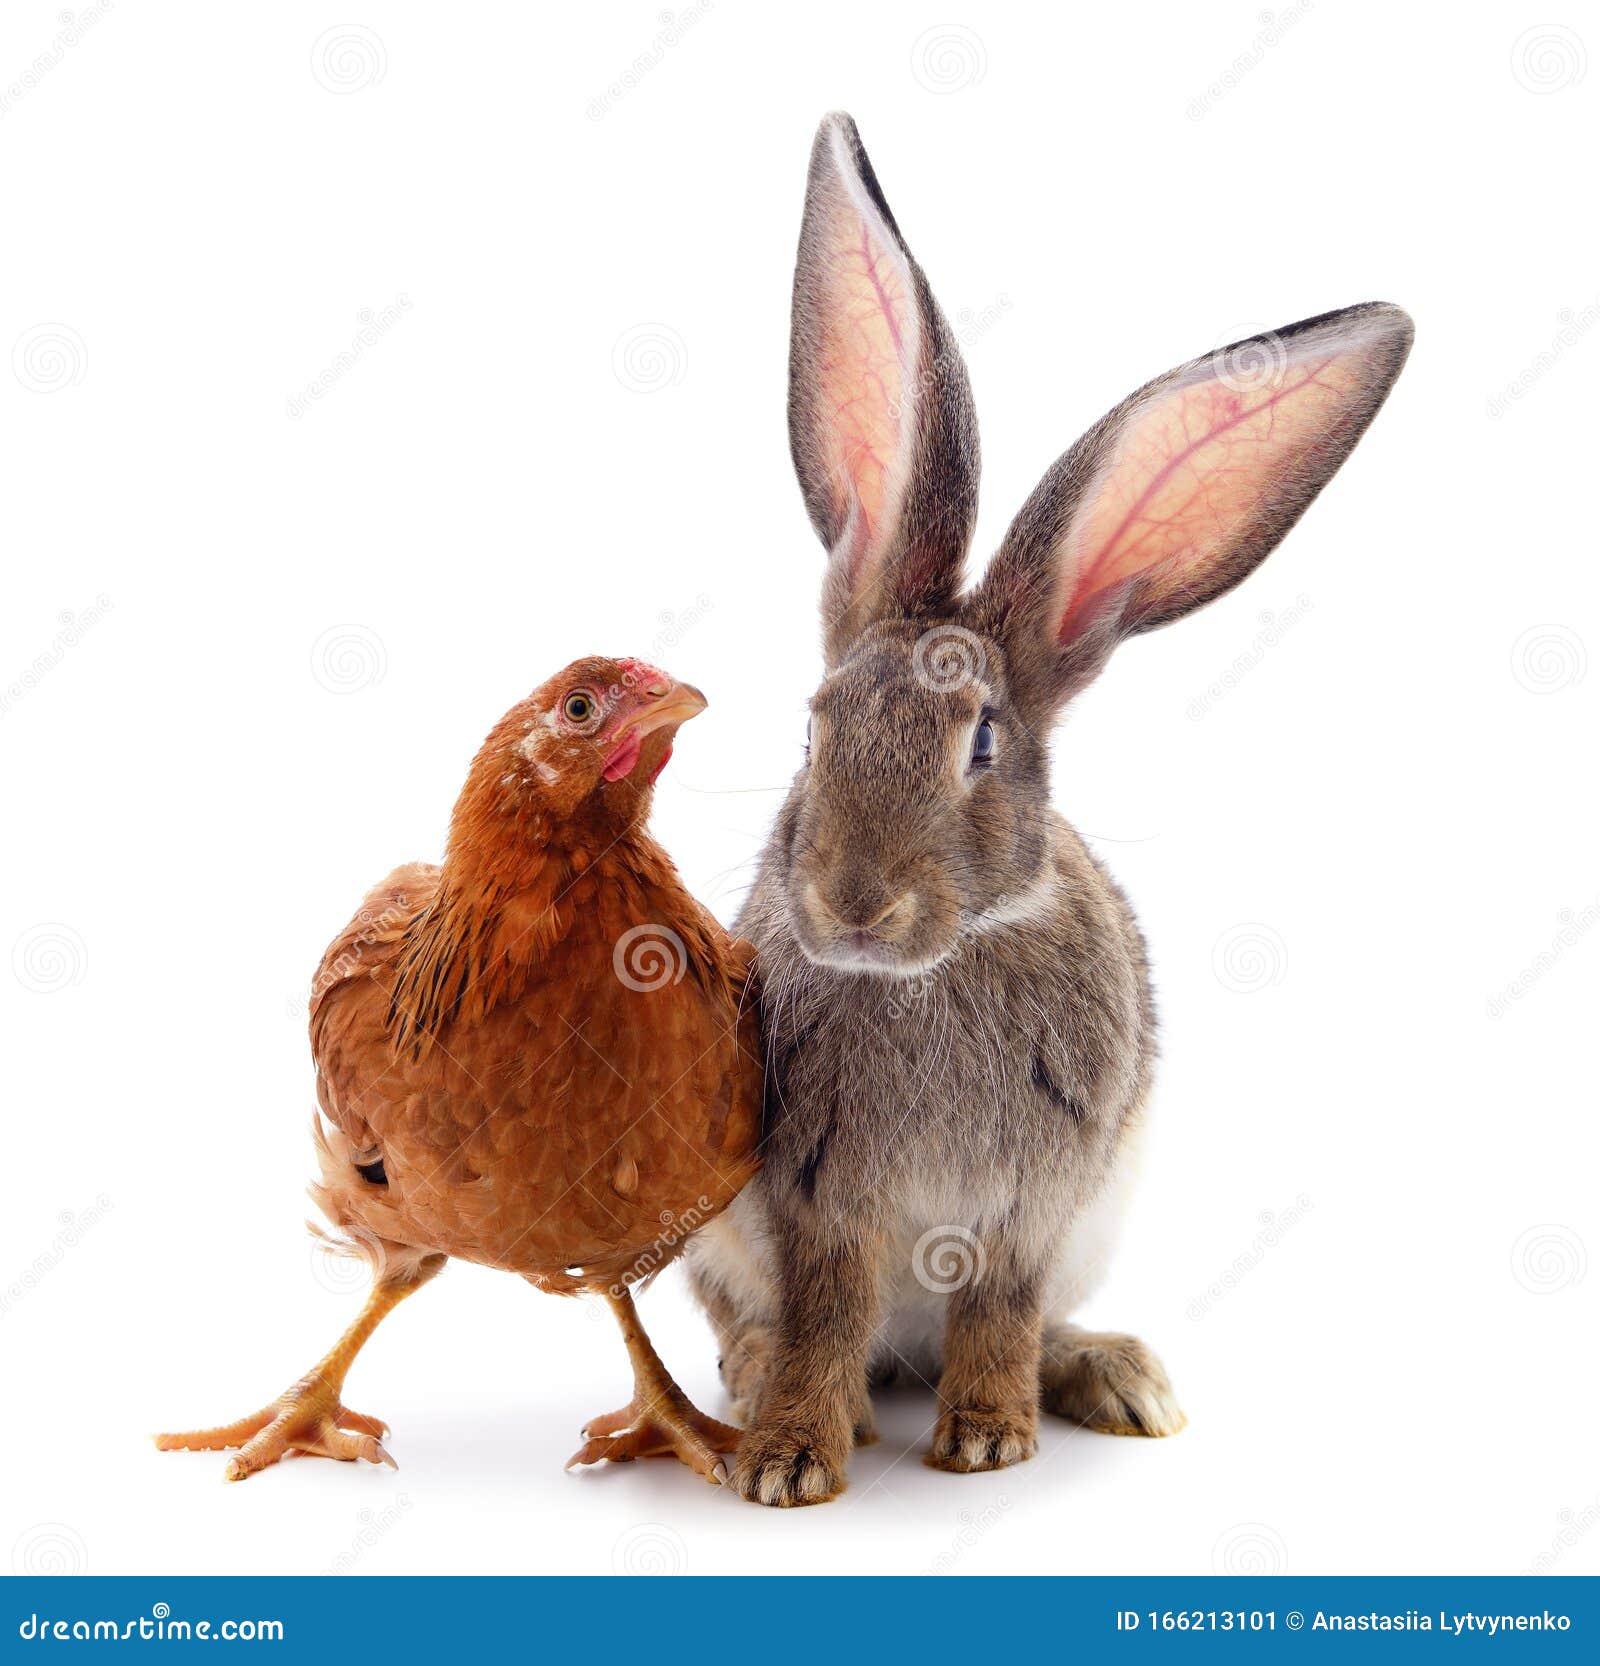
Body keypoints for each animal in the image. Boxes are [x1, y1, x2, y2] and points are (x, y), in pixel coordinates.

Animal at [687, 111, 1412, 1507]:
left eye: (983, 742)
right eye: (815, 721)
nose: (853, 904)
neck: (938, 963)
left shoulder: (1036, 1204)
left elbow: (1000, 1311)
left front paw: (986, 1439)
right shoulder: (811, 1201)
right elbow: (823, 1312)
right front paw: (792, 1458)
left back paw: (1113, 1378)